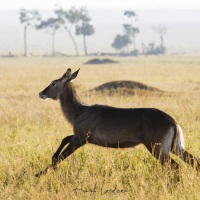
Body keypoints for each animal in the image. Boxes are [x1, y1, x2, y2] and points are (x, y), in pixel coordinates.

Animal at [36, 68, 200, 177]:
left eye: (53, 82)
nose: (41, 93)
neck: (80, 110)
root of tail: (173, 121)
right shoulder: (81, 136)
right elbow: (64, 139)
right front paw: (51, 160)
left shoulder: (80, 139)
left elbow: (62, 156)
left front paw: (39, 174)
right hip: (175, 147)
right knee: (194, 162)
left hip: (157, 148)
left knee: (175, 166)